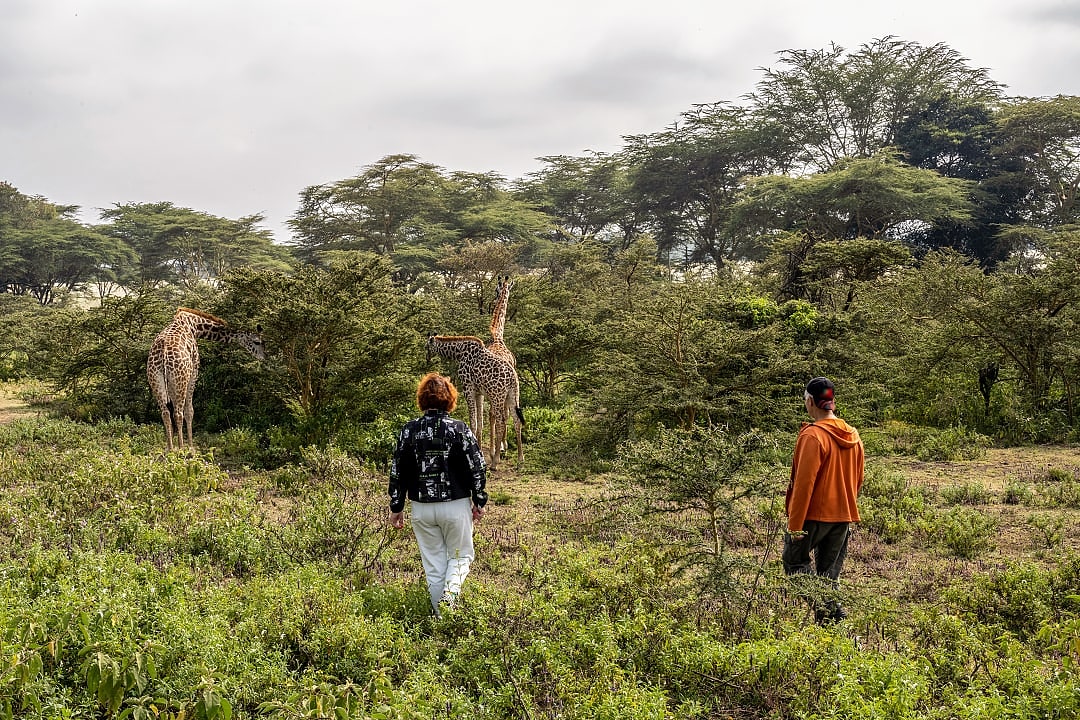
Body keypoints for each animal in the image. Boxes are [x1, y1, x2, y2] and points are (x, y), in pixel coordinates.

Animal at [147, 307, 265, 451]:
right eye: (257, 342)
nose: (264, 357)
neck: (194, 325)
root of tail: (163, 353)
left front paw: (177, 447)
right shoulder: (194, 372)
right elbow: (190, 411)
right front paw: (190, 447)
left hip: (156, 379)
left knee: (165, 413)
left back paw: (170, 449)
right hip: (180, 379)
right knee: (178, 413)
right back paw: (181, 449)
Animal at [425, 334, 523, 470]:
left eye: (426, 346)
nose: (427, 358)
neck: (458, 353)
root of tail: (512, 378)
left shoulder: (468, 389)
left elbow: (473, 422)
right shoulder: (479, 392)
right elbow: (480, 422)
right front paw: (479, 450)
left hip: (497, 396)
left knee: (501, 422)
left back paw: (495, 462)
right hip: (513, 395)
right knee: (516, 420)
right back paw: (520, 460)